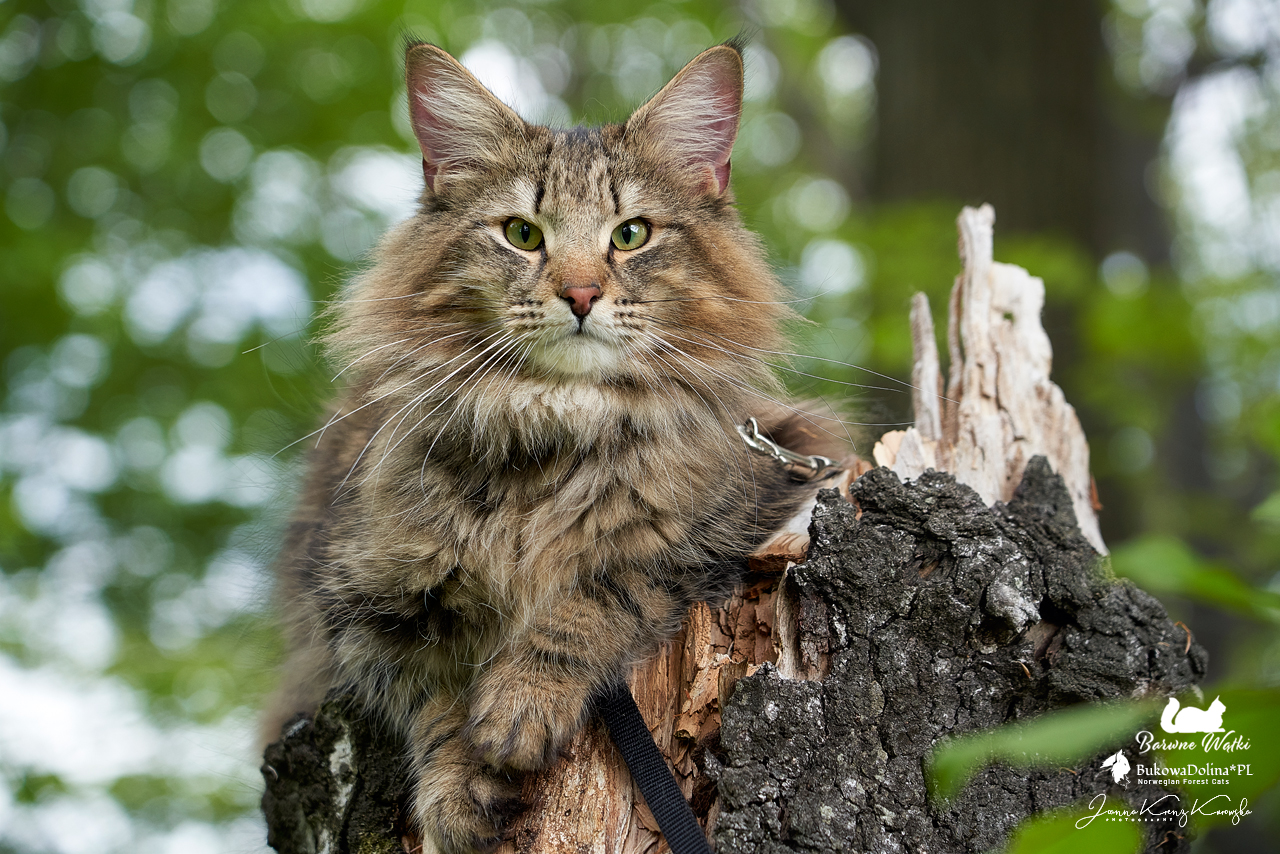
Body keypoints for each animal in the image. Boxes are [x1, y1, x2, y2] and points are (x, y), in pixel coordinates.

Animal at [268, 39, 848, 853]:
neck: (551, 430)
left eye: (631, 234)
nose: (579, 295)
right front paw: (459, 780)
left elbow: (598, 589)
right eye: (522, 233)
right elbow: (436, 686)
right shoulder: (358, 604)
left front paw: (521, 703)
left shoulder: (747, 500)